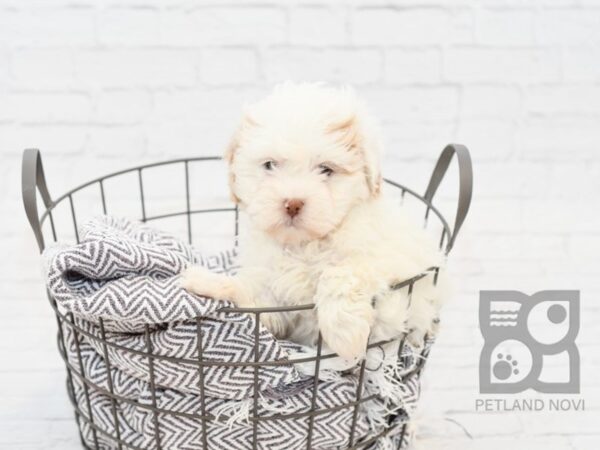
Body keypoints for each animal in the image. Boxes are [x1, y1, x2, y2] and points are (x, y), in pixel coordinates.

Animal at [183, 81, 446, 362]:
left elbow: (343, 270)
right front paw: (210, 283)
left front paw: (345, 333)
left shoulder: (397, 264)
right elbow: (257, 305)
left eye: (326, 169)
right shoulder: (278, 309)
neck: (305, 244)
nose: (293, 203)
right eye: (270, 165)